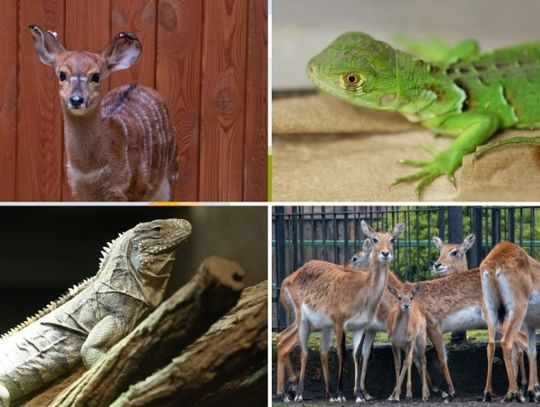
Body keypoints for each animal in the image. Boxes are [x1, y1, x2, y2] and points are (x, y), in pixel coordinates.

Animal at [27, 24, 177, 202]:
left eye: (96, 76)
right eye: (62, 74)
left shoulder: (129, 191)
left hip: (169, 177)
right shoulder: (80, 192)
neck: (89, 170)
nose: (76, 99)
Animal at [276, 220, 402, 402]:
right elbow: (342, 353)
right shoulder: (339, 322)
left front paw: (359, 395)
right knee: (303, 351)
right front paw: (342, 394)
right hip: (303, 320)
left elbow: (358, 355)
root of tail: (286, 281)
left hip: (320, 325)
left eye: (392, 239)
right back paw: (296, 394)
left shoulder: (361, 326)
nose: (385, 254)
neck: (360, 293)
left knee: (314, 348)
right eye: (375, 239)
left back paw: (325, 394)